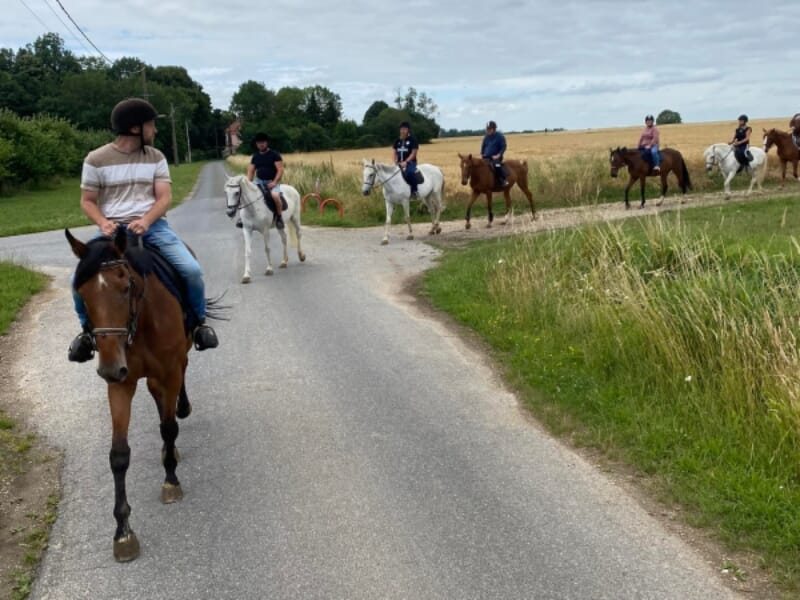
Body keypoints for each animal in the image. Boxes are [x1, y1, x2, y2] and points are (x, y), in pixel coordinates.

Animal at [67, 226, 209, 564]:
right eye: (83, 294)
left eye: (125, 286)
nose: (108, 367)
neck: (141, 322)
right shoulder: (121, 383)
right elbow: (119, 455)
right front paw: (123, 533)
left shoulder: (170, 371)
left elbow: (169, 427)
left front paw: (171, 482)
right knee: (158, 398)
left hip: (181, 357)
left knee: (175, 398)